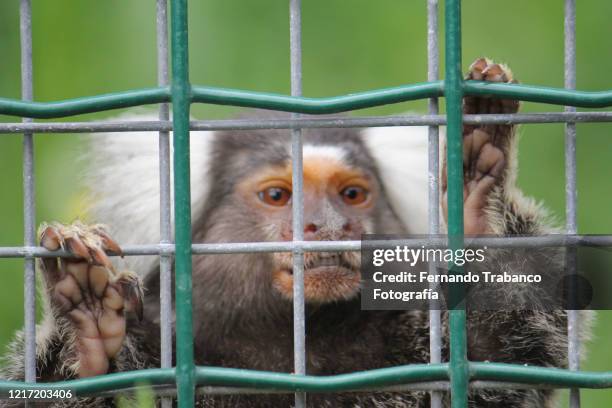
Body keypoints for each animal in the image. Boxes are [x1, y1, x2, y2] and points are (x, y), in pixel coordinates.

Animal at [1, 59, 592, 406]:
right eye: (278, 196)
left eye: (351, 195)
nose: (324, 226)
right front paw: (89, 330)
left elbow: (510, 362)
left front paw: (474, 204)